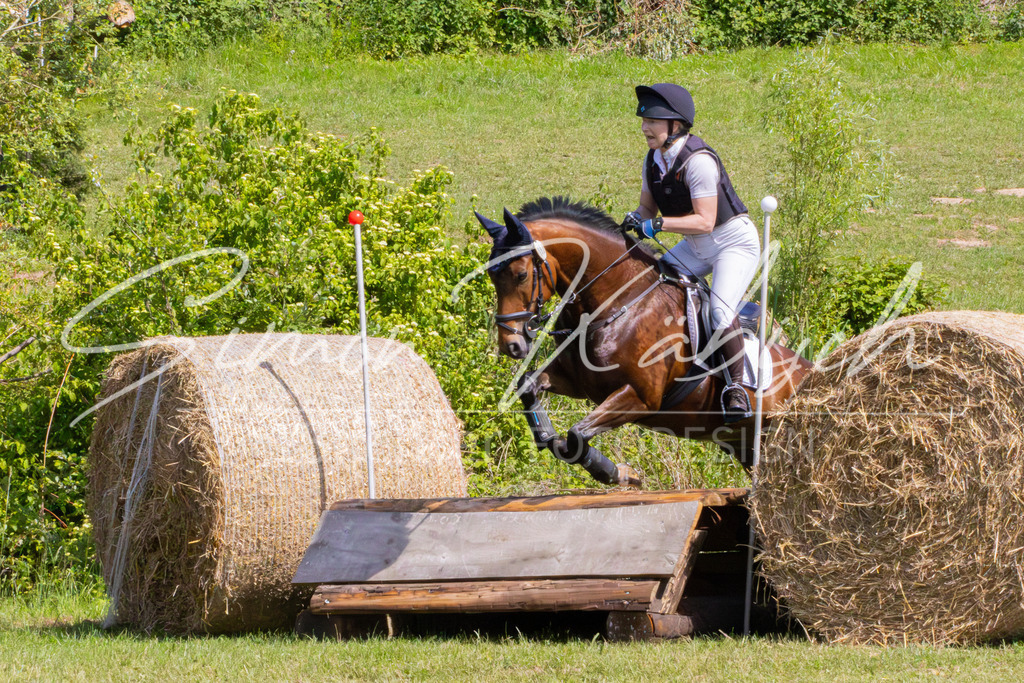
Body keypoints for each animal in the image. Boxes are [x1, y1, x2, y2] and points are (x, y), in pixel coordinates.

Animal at [476, 197, 812, 487]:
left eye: (521, 275)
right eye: (492, 276)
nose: (511, 344)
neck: (618, 301)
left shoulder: (640, 397)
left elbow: (575, 437)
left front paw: (621, 474)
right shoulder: (579, 383)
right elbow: (528, 387)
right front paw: (545, 434)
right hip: (745, 447)